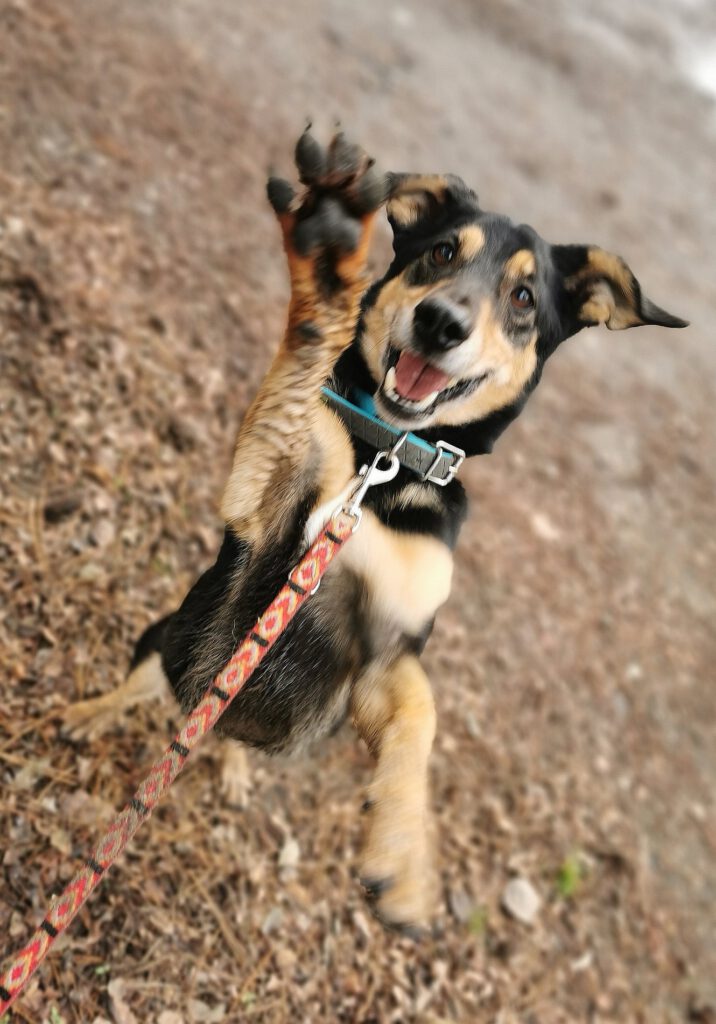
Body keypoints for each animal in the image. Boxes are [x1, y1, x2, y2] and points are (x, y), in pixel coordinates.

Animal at [64, 125, 684, 929]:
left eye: (522, 296)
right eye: (441, 252)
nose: (441, 322)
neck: (383, 460)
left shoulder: (389, 650)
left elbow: (423, 716)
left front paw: (403, 855)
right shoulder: (259, 499)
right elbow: (302, 373)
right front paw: (328, 268)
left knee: (215, 725)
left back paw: (230, 763)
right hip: (170, 631)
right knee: (149, 681)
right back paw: (92, 713)